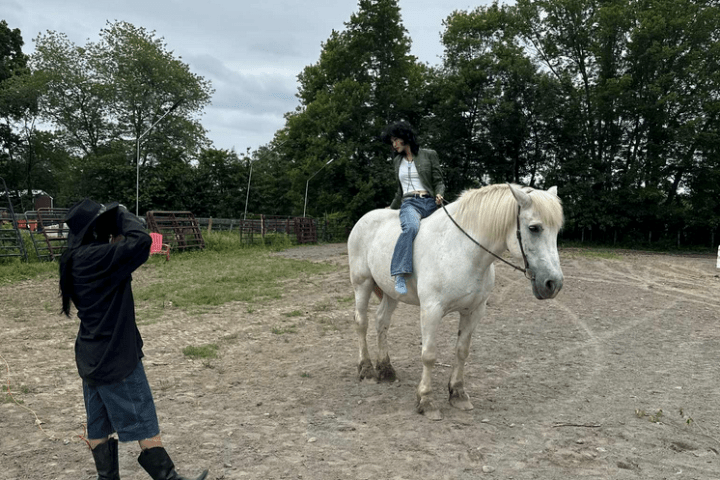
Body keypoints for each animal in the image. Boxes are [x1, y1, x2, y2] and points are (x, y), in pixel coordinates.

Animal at [347, 183, 564, 420]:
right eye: (534, 228)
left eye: (557, 230)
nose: (553, 283)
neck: (462, 252)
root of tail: (365, 218)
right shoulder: (431, 310)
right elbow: (429, 355)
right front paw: (426, 400)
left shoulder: (474, 311)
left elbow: (462, 351)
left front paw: (458, 394)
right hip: (362, 283)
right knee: (361, 323)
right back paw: (366, 370)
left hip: (391, 293)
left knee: (381, 322)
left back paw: (386, 370)